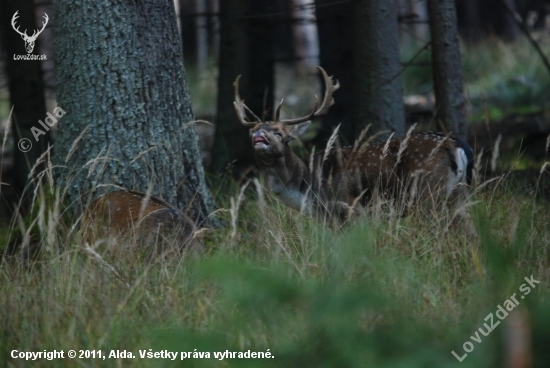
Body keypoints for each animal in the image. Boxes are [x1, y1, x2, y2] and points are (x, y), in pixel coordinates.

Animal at [235, 66, 476, 221]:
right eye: (253, 131)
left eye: (279, 132)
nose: (259, 135)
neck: (305, 185)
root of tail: (458, 145)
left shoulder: (346, 205)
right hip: (459, 193)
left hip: (428, 190)